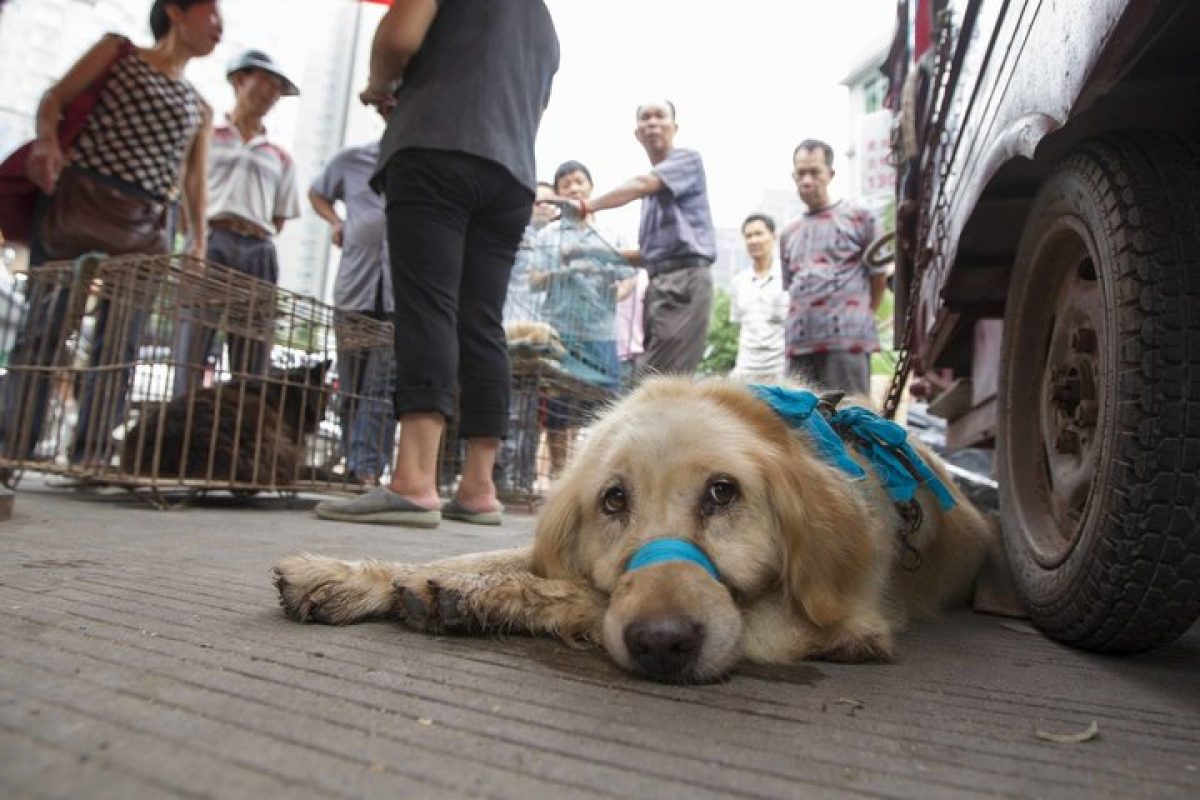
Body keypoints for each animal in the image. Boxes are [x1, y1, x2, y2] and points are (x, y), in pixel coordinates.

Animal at [274, 376, 993, 681]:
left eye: (723, 493)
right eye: (613, 500)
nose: (661, 644)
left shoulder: (843, 625)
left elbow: (586, 595)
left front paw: (476, 597)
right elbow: (485, 555)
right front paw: (353, 576)